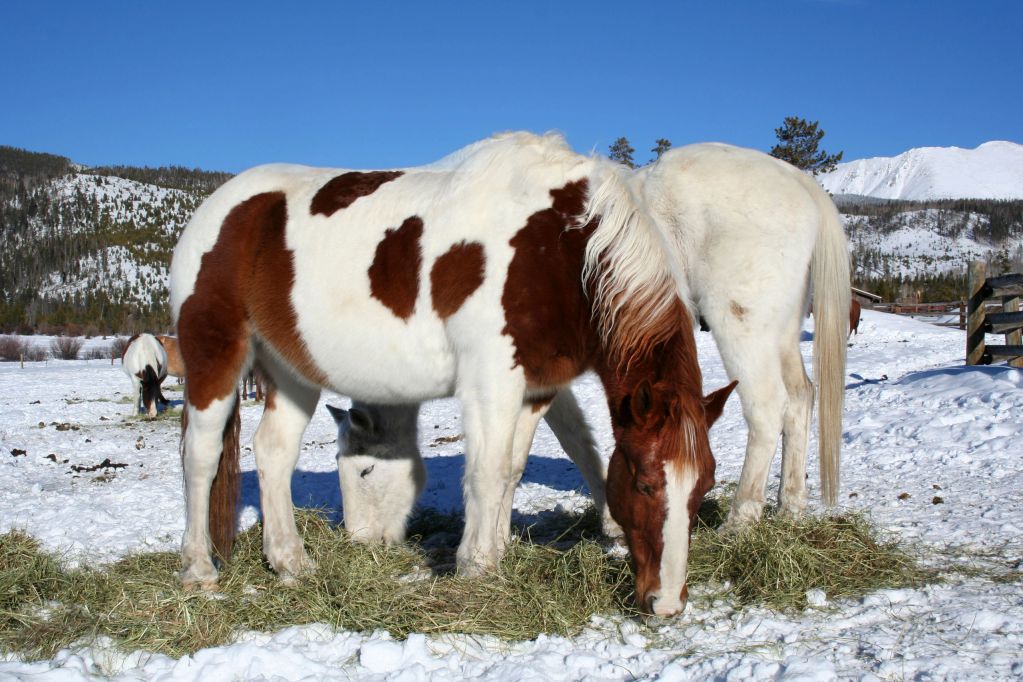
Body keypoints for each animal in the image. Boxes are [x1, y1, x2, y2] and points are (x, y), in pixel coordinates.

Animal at [170, 131, 735, 616]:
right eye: (643, 483)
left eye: (704, 486)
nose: (666, 602)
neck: (557, 249)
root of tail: (215, 209)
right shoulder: (491, 379)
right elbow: (486, 471)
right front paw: (476, 567)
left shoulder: (538, 386)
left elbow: (511, 468)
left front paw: (498, 548)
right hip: (215, 358)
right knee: (200, 456)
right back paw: (198, 571)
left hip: (292, 374)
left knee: (273, 453)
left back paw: (292, 563)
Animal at [327, 141, 850, 540]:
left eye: (363, 470)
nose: (358, 541)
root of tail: (798, 181)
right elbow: (575, 438)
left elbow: (565, 443)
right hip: (780, 334)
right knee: (800, 399)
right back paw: (790, 507)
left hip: (743, 328)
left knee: (767, 409)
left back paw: (741, 521)